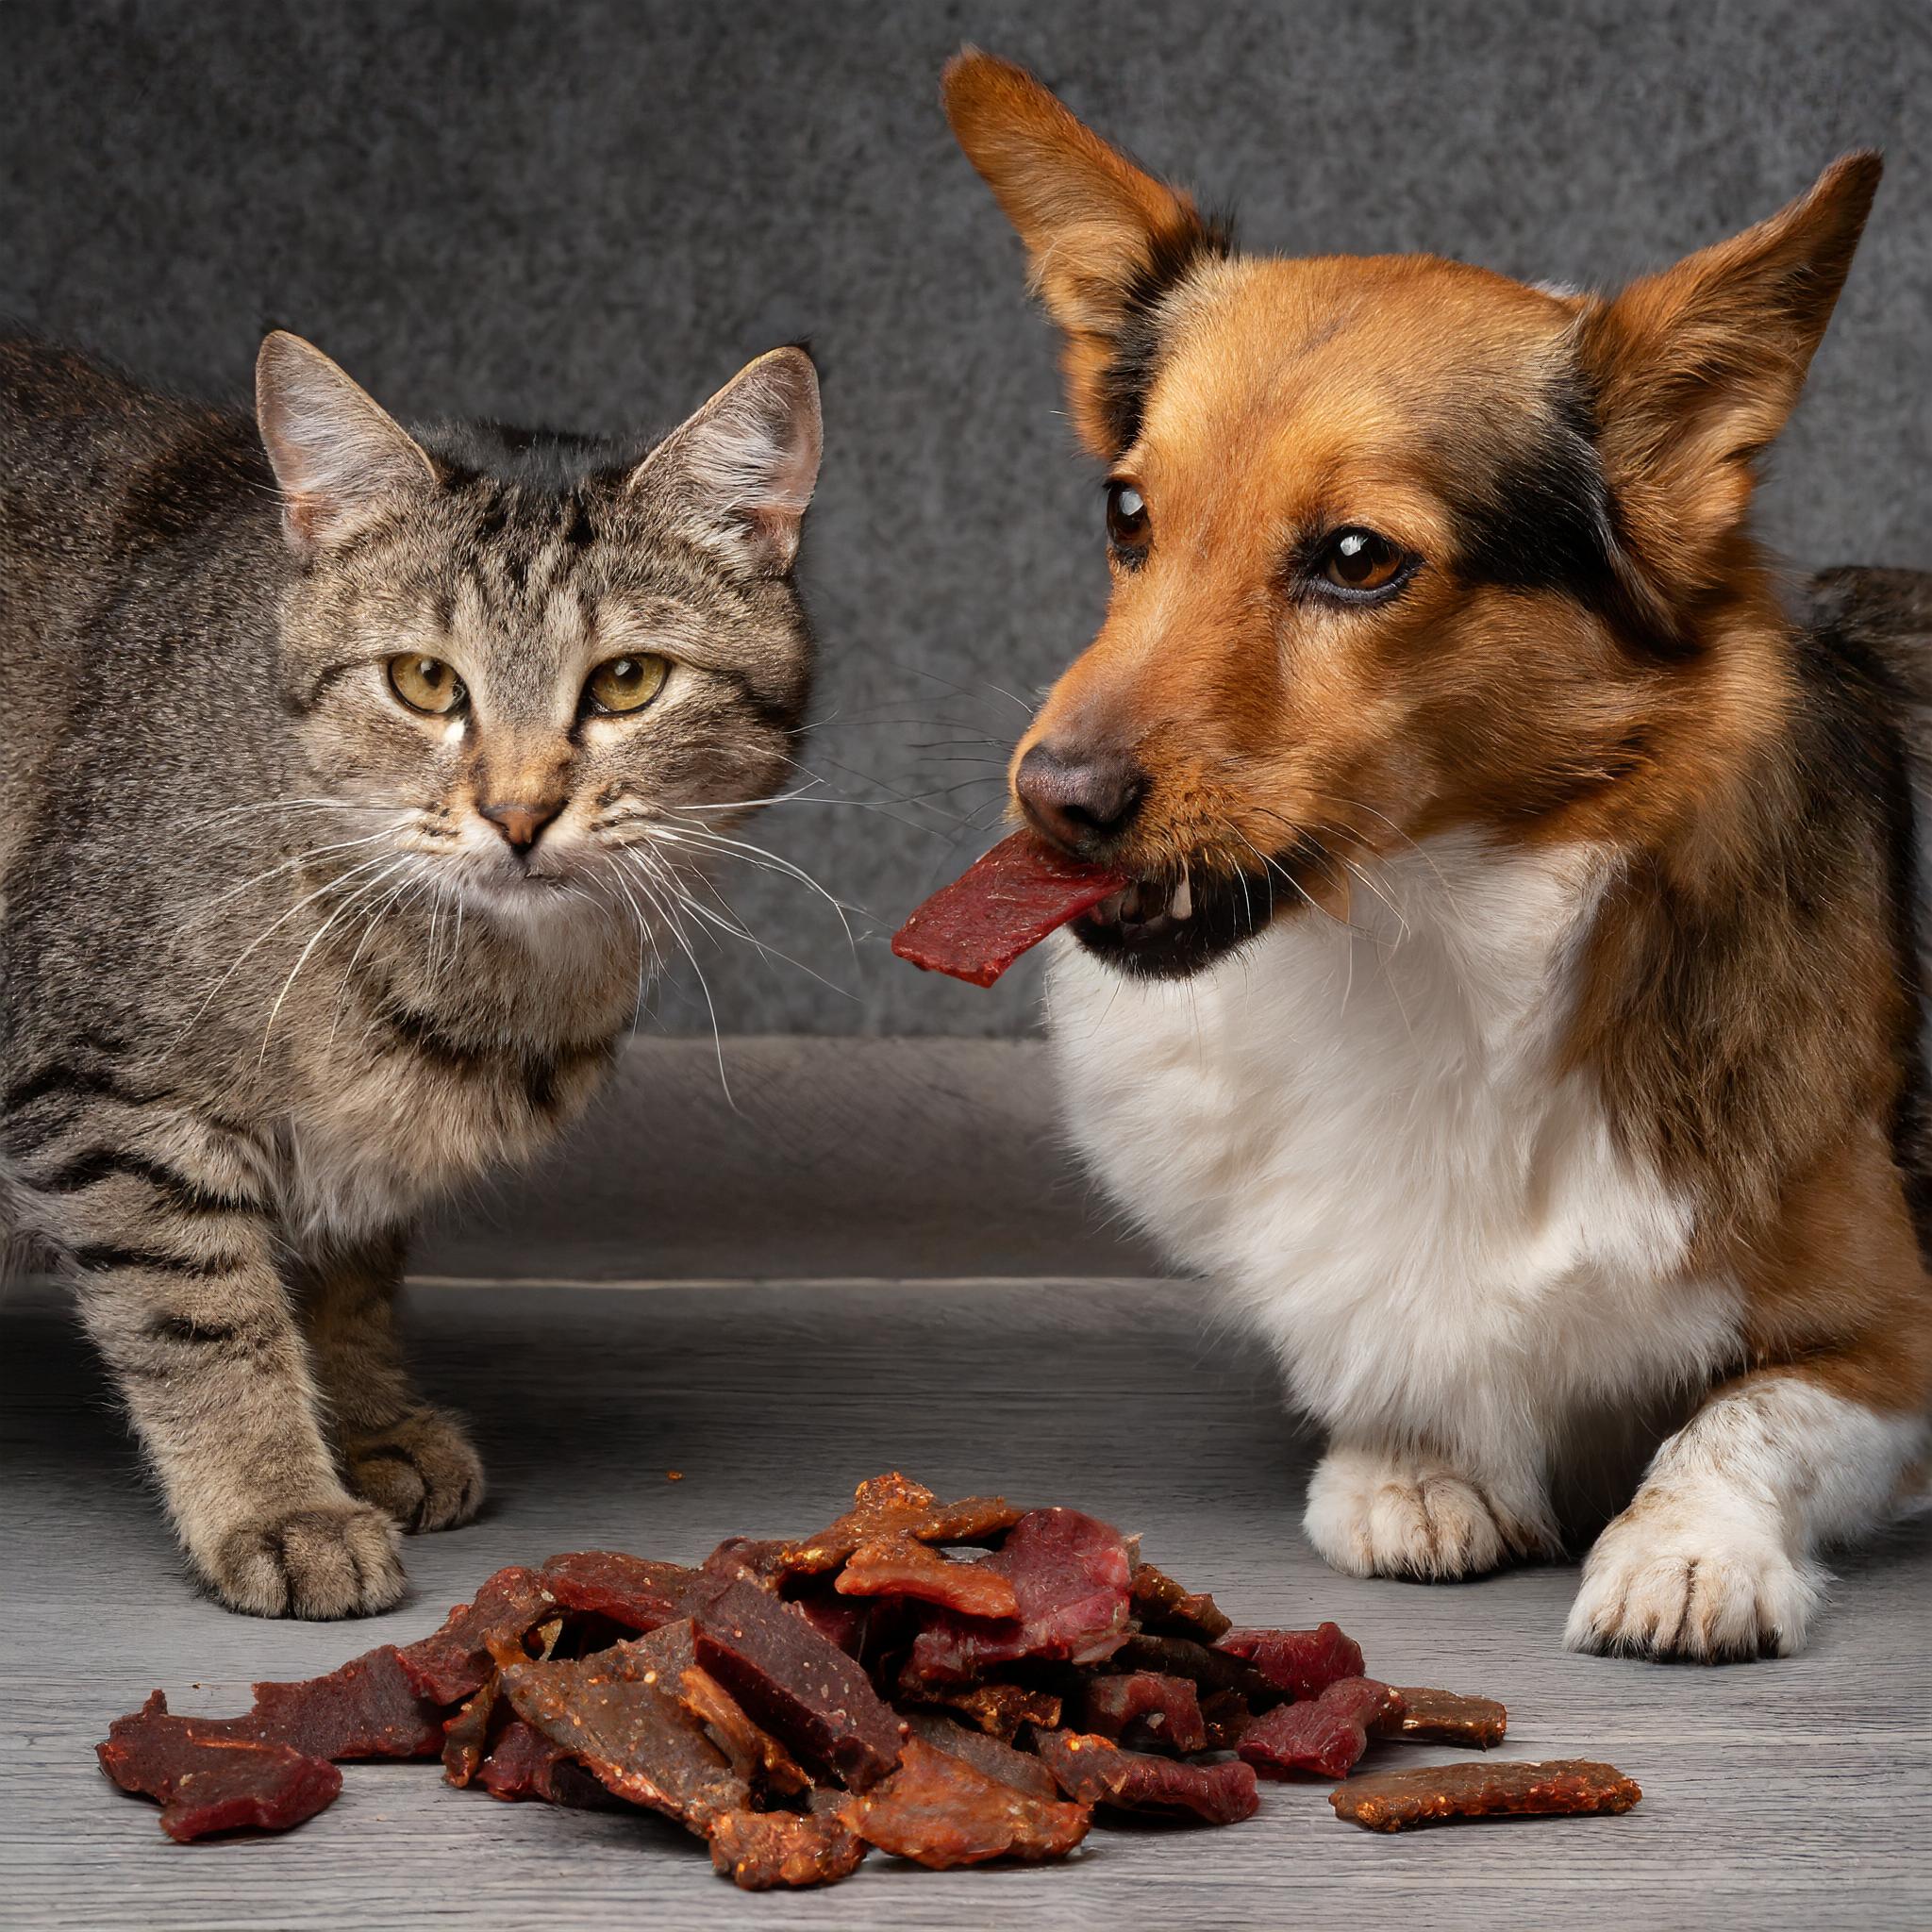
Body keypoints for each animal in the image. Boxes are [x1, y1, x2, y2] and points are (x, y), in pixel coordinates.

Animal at [0, 328, 819, 1615]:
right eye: (426, 683)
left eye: (628, 680)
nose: (519, 812)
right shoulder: (105, 1095)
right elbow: (206, 1313)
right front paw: (278, 1498)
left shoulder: (363, 1155)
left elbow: (346, 1275)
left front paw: (366, 1420)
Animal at [946, 48, 1932, 1661]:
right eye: (1126, 513)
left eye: (1358, 560)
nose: (1055, 801)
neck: (1422, 944)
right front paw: (1416, 1469)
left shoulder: (1895, 1337)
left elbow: (1747, 1415)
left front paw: (1685, 1554)